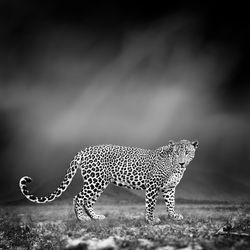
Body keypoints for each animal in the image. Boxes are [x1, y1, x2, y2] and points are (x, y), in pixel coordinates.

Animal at [19, 139, 198, 223]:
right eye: (176, 153)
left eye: (187, 152)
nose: (182, 163)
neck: (176, 168)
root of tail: (84, 150)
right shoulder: (153, 185)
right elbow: (151, 204)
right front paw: (151, 220)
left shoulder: (169, 188)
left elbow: (171, 203)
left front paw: (174, 216)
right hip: (94, 181)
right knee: (78, 197)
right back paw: (82, 219)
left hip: (100, 183)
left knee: (88, 201)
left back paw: (95, 217)